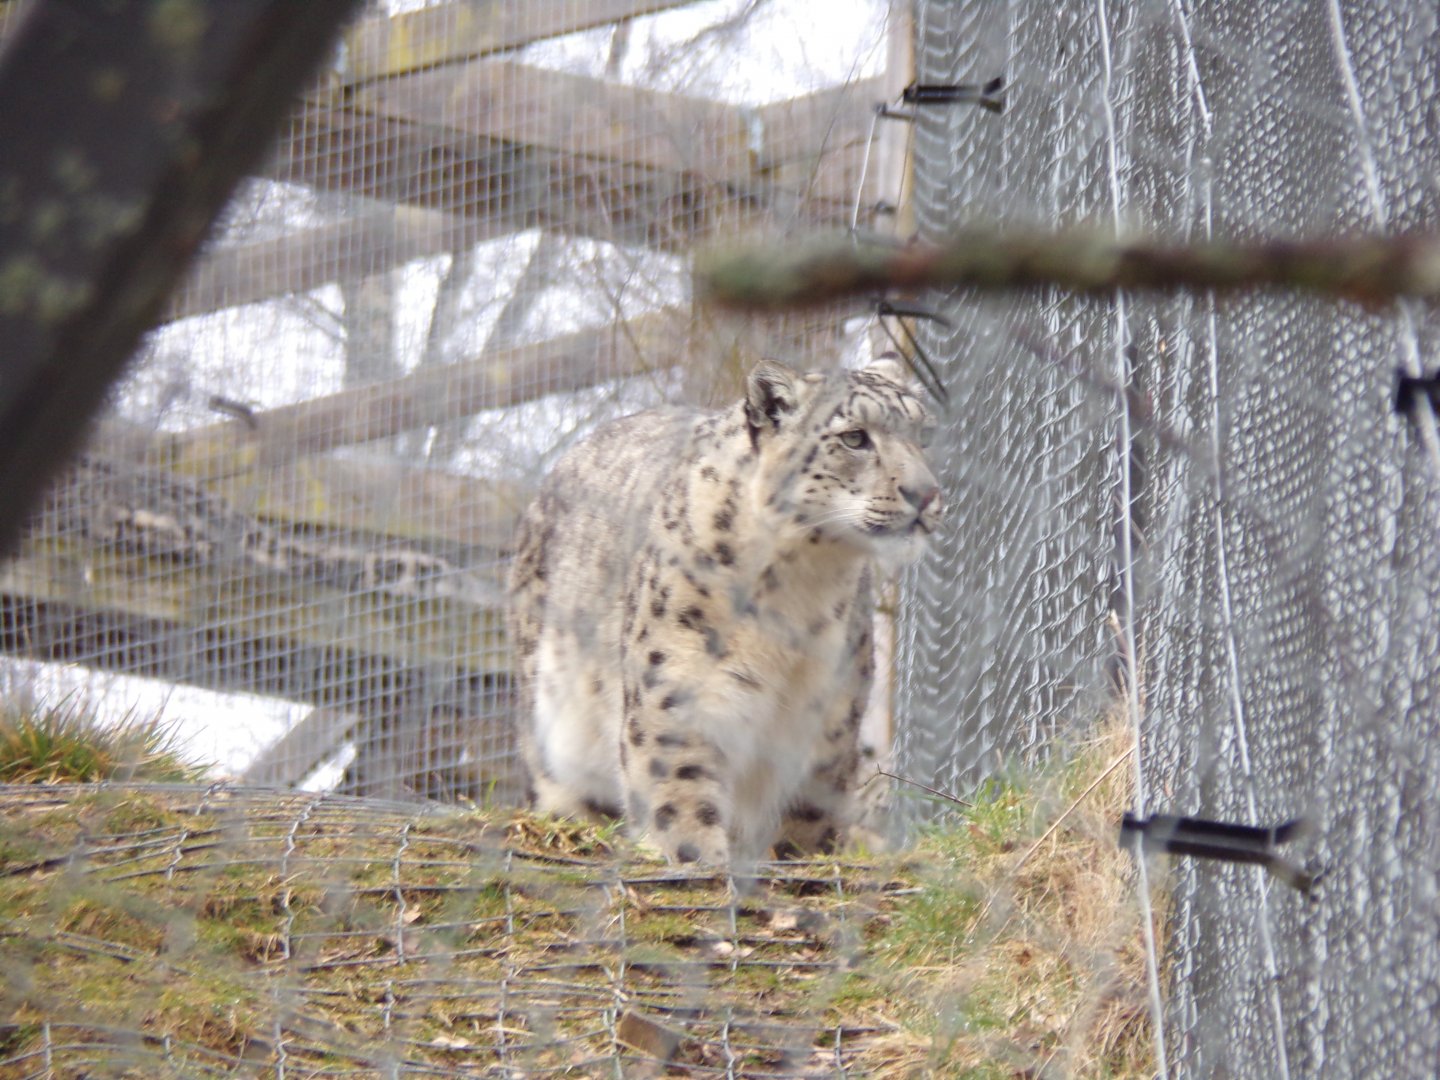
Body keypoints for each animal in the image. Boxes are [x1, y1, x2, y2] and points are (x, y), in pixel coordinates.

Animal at [506, 356, 943, 867]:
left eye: (924, 433)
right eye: (854, 437)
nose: (926, 494)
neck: (801, 588)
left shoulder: (831, 714)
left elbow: (809, 812)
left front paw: (798, 856)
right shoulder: (677, 685)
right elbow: (679, 790)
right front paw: (698, 857)